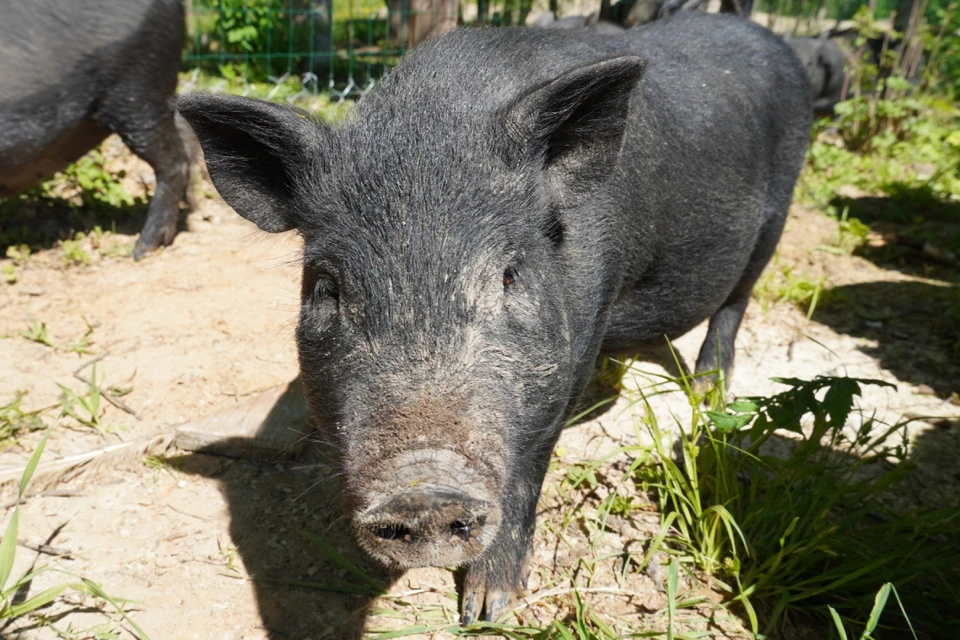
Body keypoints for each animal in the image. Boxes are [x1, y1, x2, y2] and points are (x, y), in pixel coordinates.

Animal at [178, 8, 808, 620]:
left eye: (510, 275)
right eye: (327, 287)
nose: (423, 489)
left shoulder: (580, 336)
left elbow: (530, 465)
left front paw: (486, 610)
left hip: (777, 214)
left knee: (736, 301)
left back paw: (707, 391)